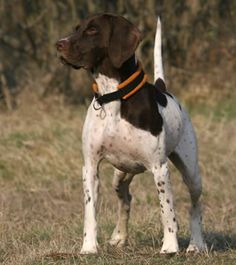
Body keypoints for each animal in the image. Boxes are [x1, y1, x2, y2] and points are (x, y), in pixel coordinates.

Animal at [56, 12, 206, 254]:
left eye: (92, 30)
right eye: (76, 28)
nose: (59, 44)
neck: (113, 97)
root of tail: (163, 89)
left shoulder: (159, 169)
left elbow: (167, 211)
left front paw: (169, 247)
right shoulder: (90, 167)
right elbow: (90, 212)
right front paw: (89, 247)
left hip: (191, 174)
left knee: (195, 206)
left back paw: (196, 244)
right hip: (120, 175)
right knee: (125, 199)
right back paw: (119, 236)